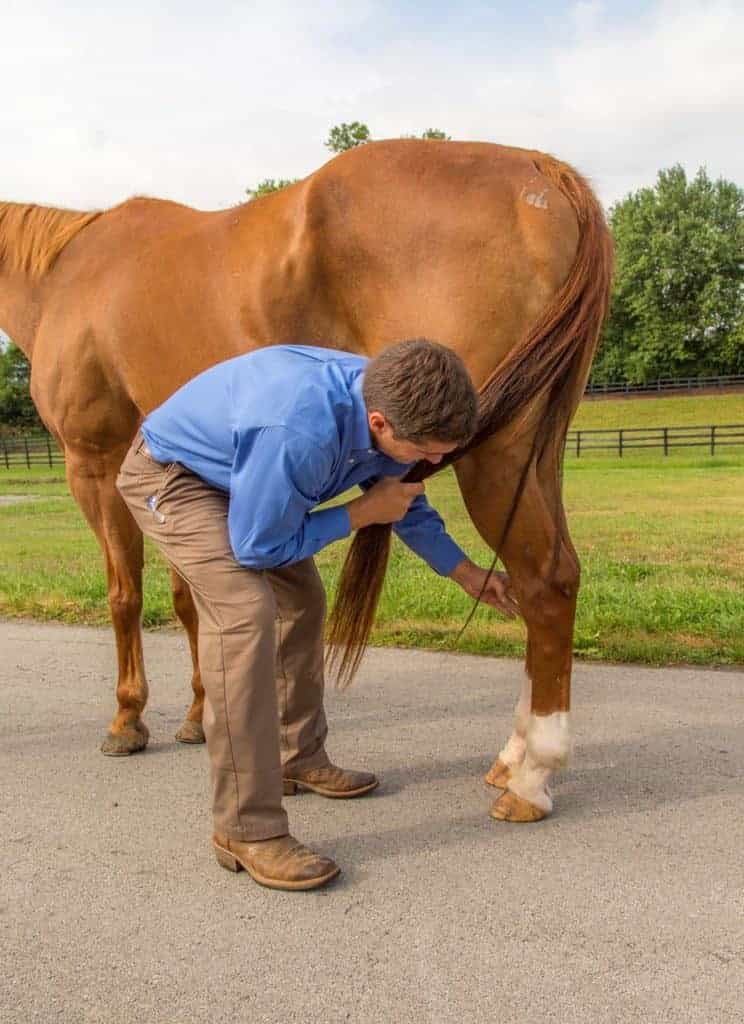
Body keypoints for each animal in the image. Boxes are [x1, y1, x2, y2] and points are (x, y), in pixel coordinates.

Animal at [0, 139, 612, 822]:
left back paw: (532, 776)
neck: (67, 276)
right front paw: (196, 714)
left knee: (546, 584)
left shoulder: (95, 465)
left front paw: (128, 720)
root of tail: (539, 168)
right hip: (538, 452)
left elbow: (124, 596)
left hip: (493, 456)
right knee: (558, 576)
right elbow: (188, 602)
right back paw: (511, 757)